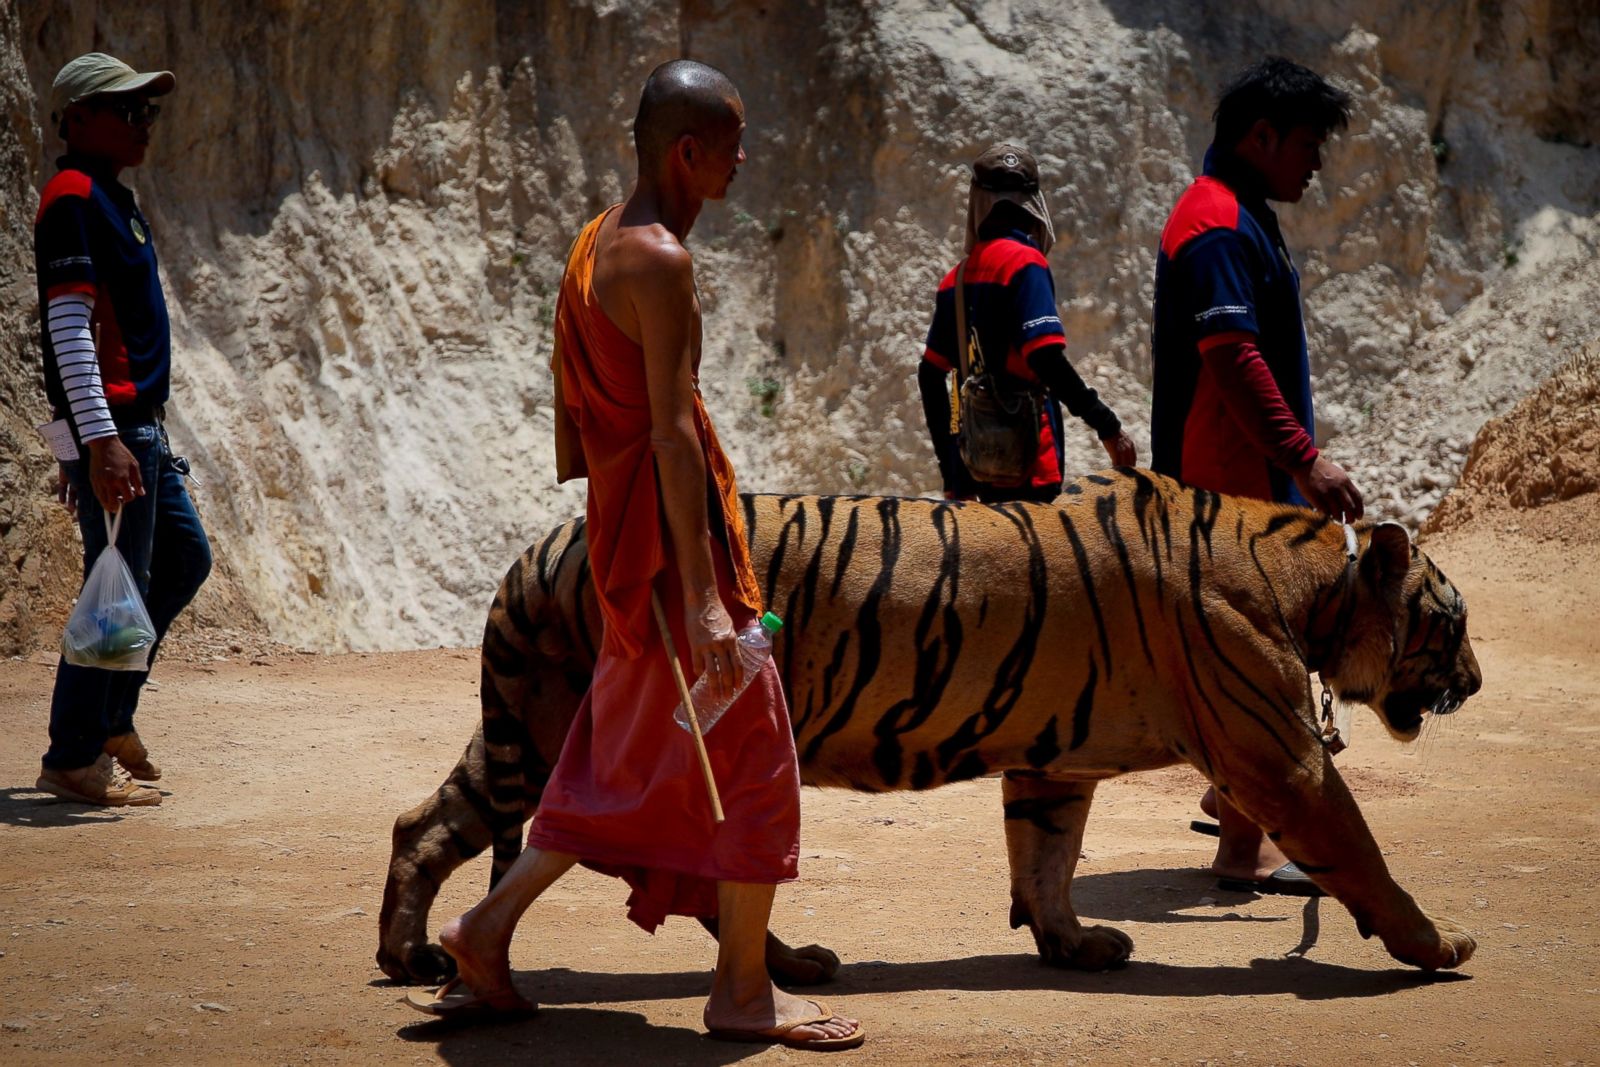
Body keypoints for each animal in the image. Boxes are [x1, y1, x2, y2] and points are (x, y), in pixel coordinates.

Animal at [380, 470, 1478, 991]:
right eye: (1454, 621)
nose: (1473, 680)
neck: (1315, 587)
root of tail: (541, 545)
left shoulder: (1053, 757)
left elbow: (1046, 857)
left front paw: (1071, 943)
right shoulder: (1280, 757)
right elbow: (1361, 851)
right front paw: (1437, 941)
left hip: (526, 724)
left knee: (421, 822)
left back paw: (411, 957)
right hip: (594, 733)